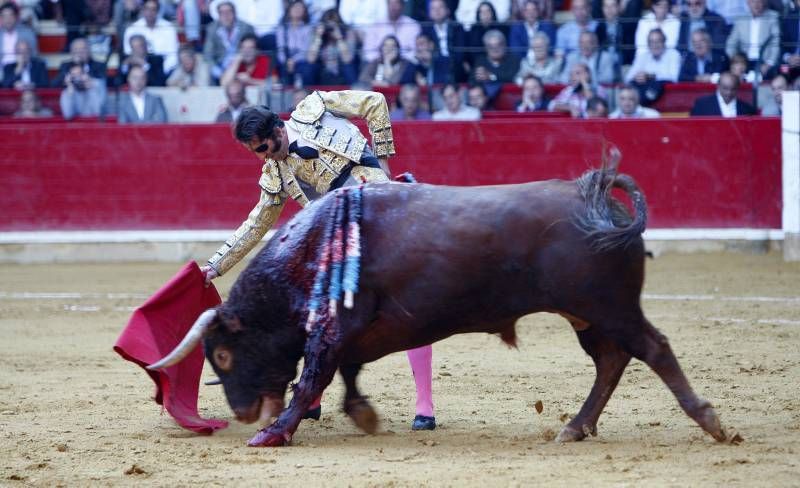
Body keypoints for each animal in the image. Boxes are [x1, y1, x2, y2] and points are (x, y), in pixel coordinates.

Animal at [147, 152, 728, 446]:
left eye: (223, 354)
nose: (244, 413)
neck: (311, 249)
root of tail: (596, 192)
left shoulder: (334, 328)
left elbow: (315, 374)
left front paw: (275, 433)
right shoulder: (359, 331)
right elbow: (347, 370)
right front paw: (361, 414)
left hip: (609, 306)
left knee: (651, 348)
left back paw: (709, 422)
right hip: (588, 316)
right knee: (611, 361)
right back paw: (575, 427)